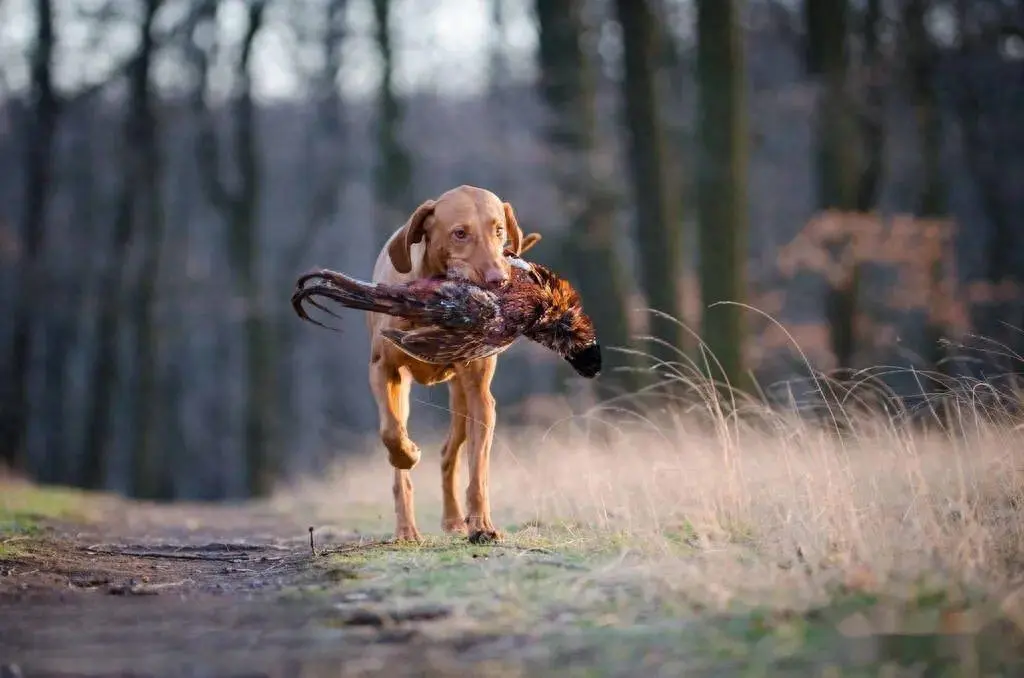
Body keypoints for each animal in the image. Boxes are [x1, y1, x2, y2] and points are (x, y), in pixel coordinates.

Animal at [368, 183, 544, 544]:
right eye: (460, 233)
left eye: (499, 230)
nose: (498, 280)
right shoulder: (382, 369)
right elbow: (391, 432)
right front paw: (408, 453)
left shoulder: (480, 397)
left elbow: (478, 470)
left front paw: (482, 525)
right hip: (404, 391)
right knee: (402, 459)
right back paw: (406, 529)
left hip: (460, 396)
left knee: (450, 451)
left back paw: (453, 520)